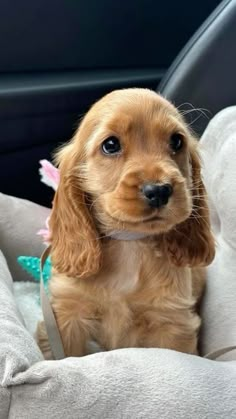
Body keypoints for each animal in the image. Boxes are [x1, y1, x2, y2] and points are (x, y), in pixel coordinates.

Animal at [36, 89, 214, 360]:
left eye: (176, 141)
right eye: (110, 145)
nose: (159, 190)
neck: (129, 243)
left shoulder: (172, 321)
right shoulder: (67, 314)